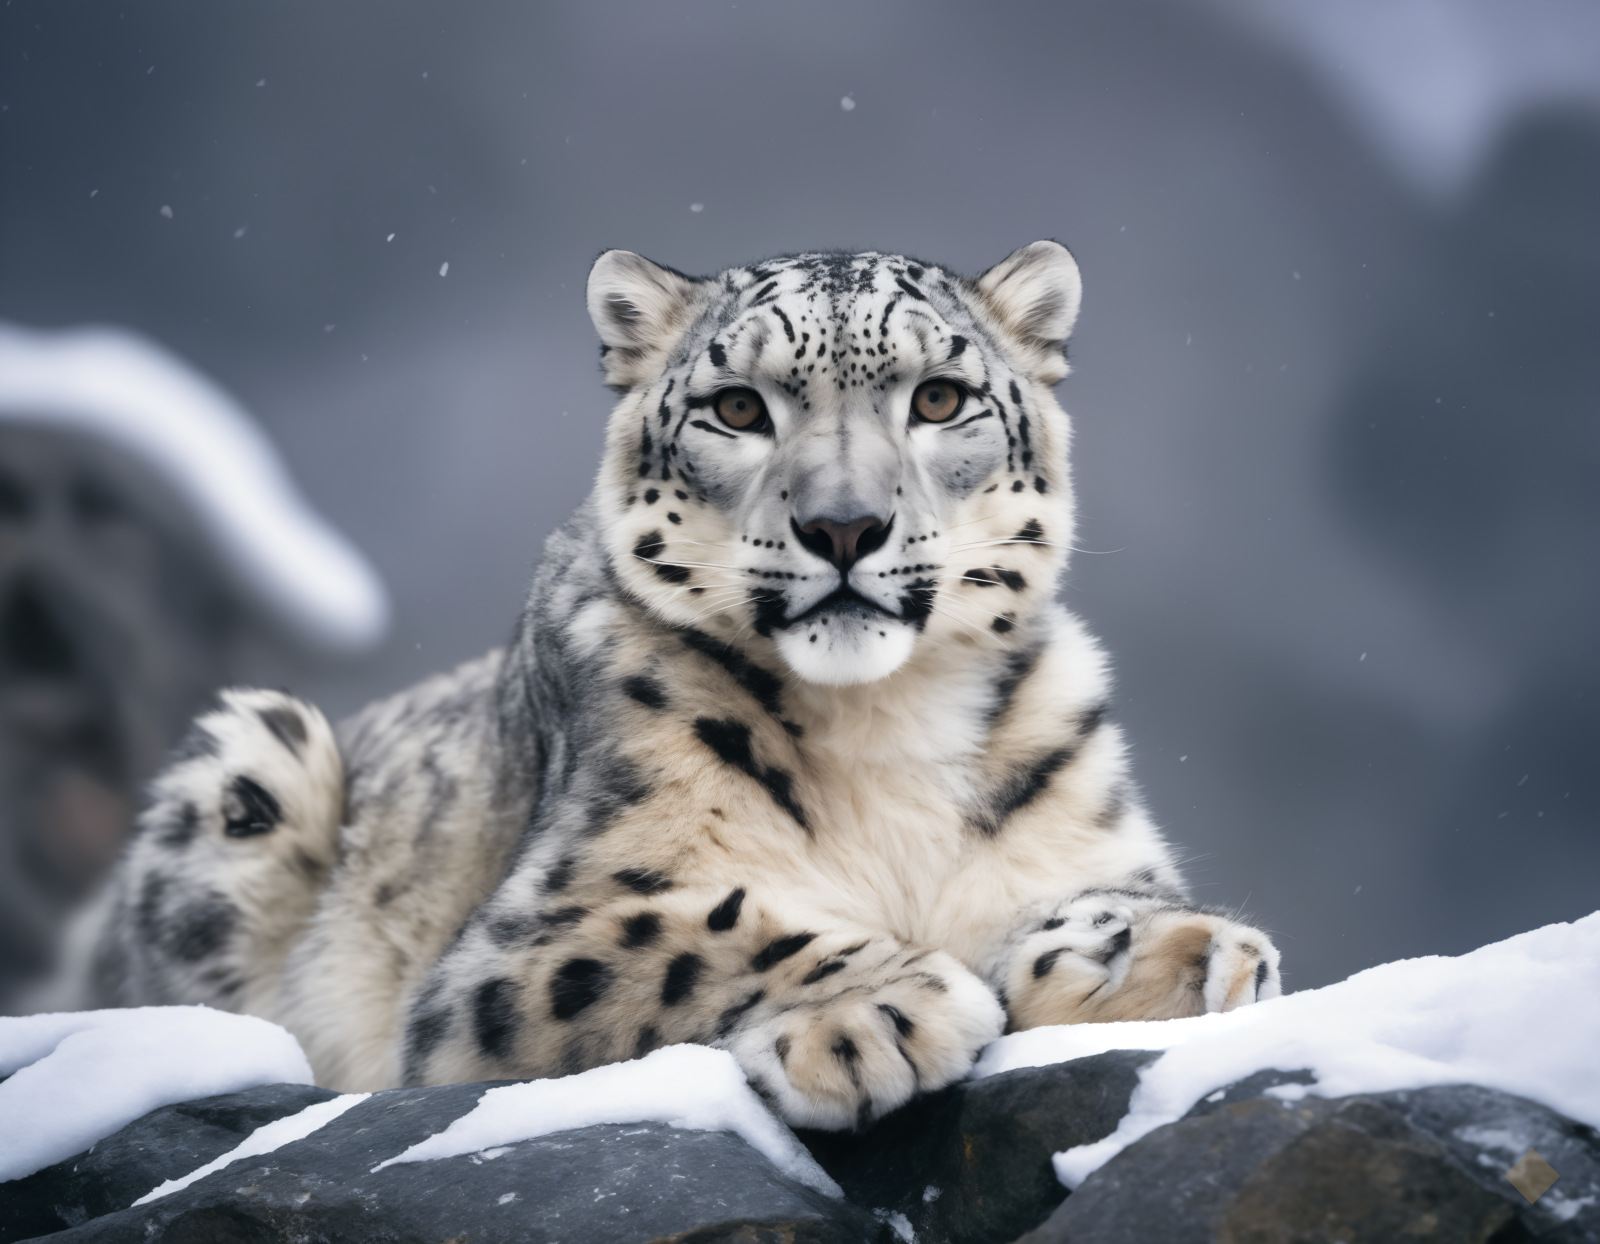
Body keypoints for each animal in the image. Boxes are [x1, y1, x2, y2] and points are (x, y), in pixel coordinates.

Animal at [72, 242, 1281, 1131]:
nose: (844, 525)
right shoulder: (518, 947)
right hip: (252, 755)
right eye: (737, 408)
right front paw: (874, 1009)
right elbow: (688, 931)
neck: (885, 725)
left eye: (940, 398)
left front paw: (1184, 954)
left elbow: (1100, 900)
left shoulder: (1088, 846)